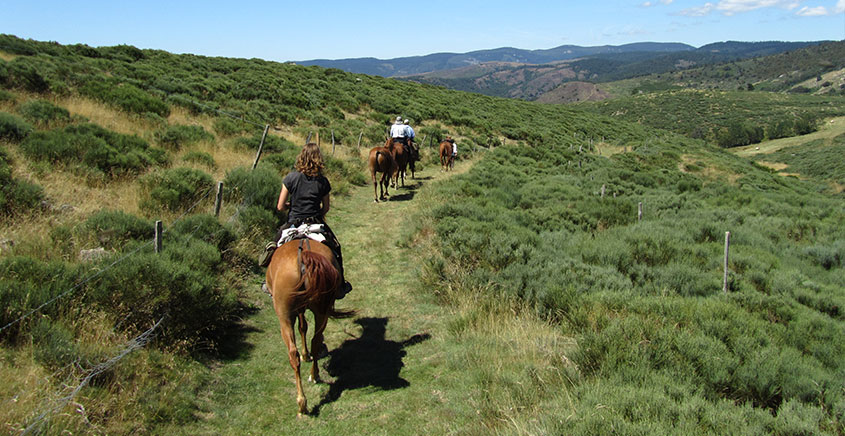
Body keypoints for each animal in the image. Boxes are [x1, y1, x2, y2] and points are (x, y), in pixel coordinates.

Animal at [268, 238, 352, 416]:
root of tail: (304, 259)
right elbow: (304, 326)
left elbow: (302, 326)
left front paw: (305, 355)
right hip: (320, 310)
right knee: (310, 343)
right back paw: (307, 391)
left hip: (285, 315)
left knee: (302, 348)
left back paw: (307, 391)